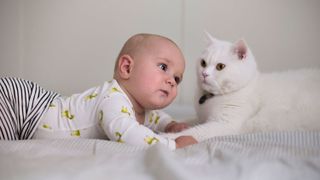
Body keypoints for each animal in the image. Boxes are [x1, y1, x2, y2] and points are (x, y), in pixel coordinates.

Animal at [164, 32, 320, 142]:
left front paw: (168, 137)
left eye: (220, 66)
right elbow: (185, 121)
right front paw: (174, 125)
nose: (204, 73)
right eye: (203, 63)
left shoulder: (224, 125)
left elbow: (194, 132)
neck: (212, 98)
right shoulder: (201, 118)